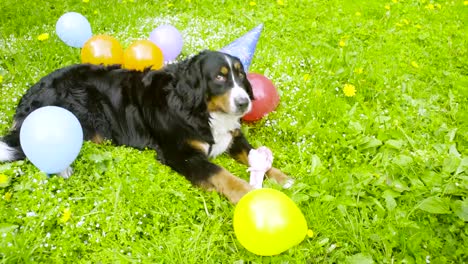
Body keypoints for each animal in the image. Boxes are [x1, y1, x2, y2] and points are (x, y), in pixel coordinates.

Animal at [0, 50, 292, 203]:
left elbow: (254, 155)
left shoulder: (232, 137)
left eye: (240, 75)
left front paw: (283, 178)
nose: (244, 103)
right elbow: (221, 173)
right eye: (219, 77)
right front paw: (248, 193)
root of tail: (29, 95)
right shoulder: (181, 154)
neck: (199, 109)